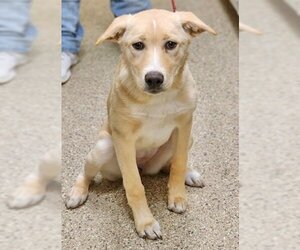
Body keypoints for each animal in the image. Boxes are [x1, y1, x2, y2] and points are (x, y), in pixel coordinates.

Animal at [65, 9, 216, 240]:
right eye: (137, 45)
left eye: (171, 44)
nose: (154, 78)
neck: (157, 101)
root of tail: (145, 166)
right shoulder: (124, 137)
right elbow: (134, 185)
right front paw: (145, 222)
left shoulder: (184, 125)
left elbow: (179, 164)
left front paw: (177, 196)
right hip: (102, 149)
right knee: (86, 173)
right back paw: (78, 192)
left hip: (188, 138)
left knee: (169, 165)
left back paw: (189, 174)